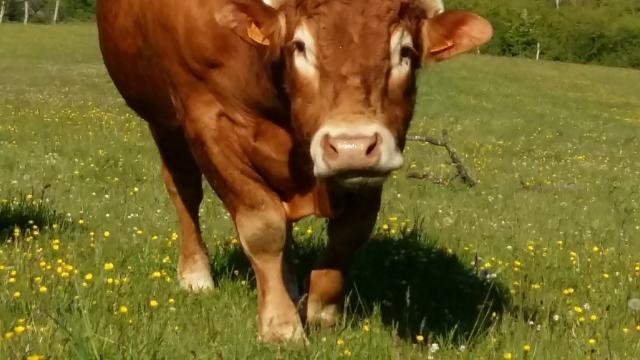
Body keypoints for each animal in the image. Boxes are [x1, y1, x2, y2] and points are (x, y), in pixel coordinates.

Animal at [97, 0, 492, 344]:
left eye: (405, 52)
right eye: (300, 46)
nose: (350, 145)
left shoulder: (377, 156)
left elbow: (349, 233)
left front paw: (321, 312)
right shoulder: (208, 118)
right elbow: (262, 227)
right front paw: (281, 325)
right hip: (163, 122)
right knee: (185, 191)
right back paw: (196, 275)